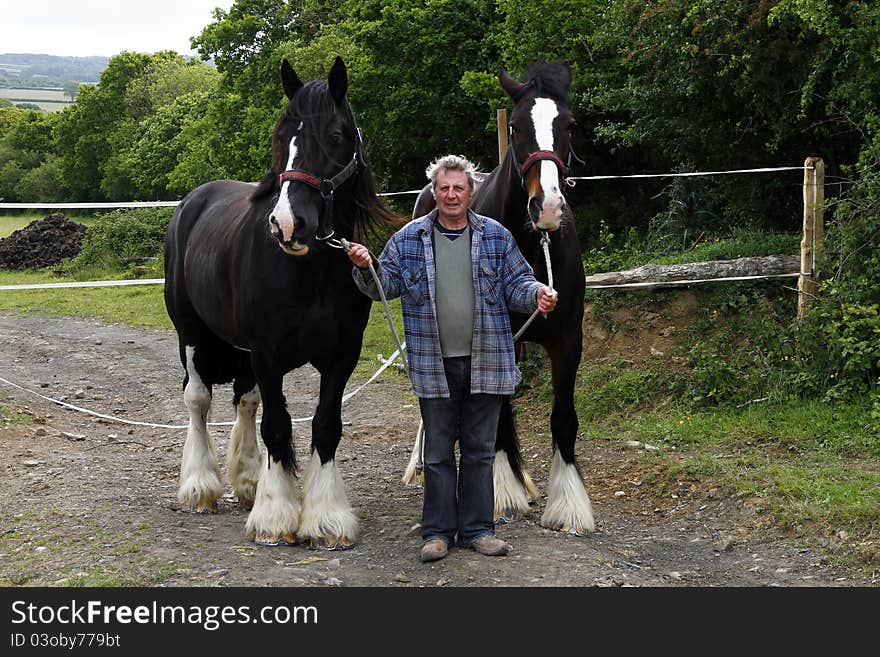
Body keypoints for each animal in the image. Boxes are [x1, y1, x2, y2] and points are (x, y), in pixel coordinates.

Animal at [163, 57, 400, 548]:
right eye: (281, 135)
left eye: (335, 134)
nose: (288, 224)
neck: (312, 272)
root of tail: (194, 200)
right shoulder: (269, 355)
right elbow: (277, 425)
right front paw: (275, 516)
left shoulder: (341, 357)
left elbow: (325, 426)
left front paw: (325, 518)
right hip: (190, 332)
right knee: (198, 400)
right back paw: (199, 486)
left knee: (245, 401)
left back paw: (248, 481)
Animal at [410, 61, 596, 536]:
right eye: (515, 126)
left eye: (569, 124)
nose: (546, 208)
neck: (533, 247)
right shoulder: (493, 336)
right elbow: (491, 419)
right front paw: (502, 492)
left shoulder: (569, 340)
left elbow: (563, 419)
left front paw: (569, 505)